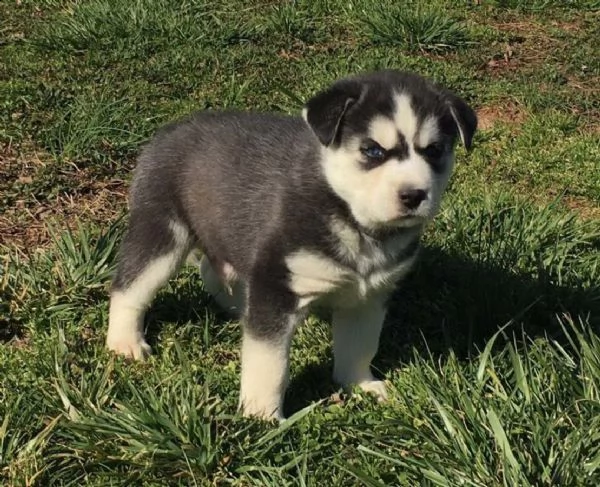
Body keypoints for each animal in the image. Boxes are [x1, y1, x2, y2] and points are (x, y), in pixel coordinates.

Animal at [105, 70, 476, 422]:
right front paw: (262, 417)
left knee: (214, 269)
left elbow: (360, 346)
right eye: (373, 150)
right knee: (129, 287)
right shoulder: (276, 284)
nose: (414, 195)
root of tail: (171, 127)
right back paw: (125, 342)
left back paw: (239, 309)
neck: (356, 223)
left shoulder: (369, 297)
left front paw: (360, 385)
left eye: (434, 151)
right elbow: (270, 365)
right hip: (162, 231)